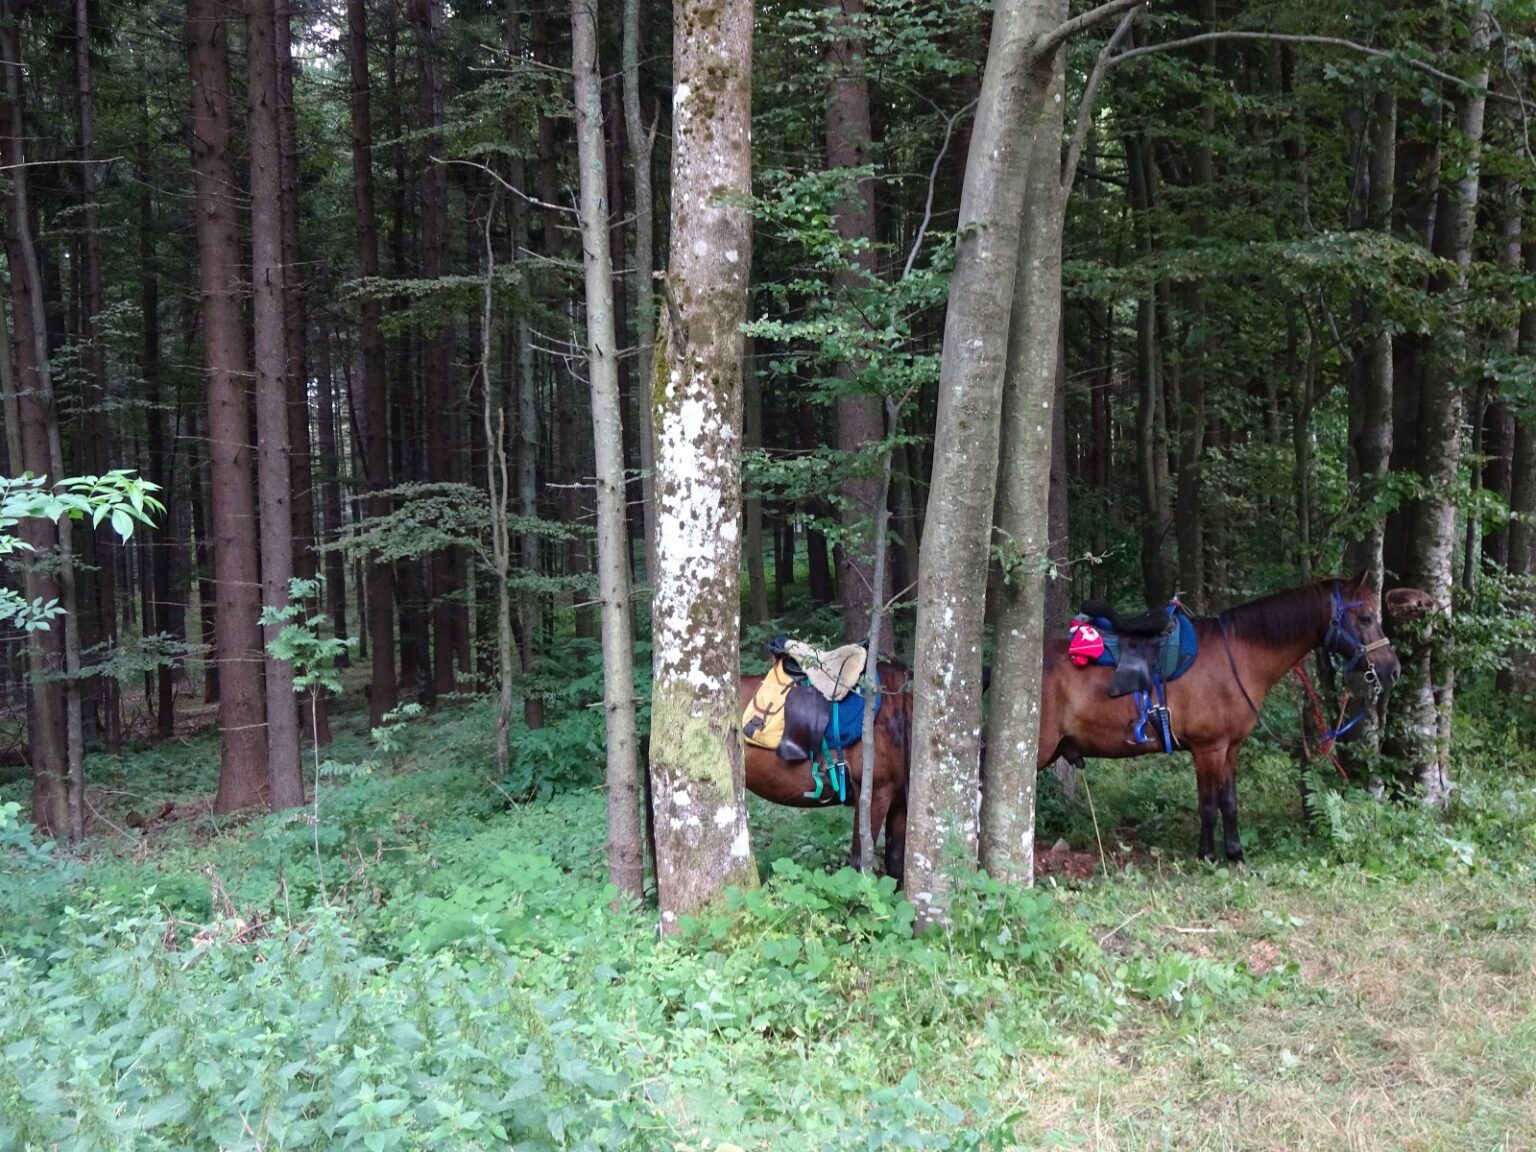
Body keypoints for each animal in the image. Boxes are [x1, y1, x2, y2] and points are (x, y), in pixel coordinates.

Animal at [1036, 575, 1401, 863]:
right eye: (1365, 617)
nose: (1392, 669)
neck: (1237, 657)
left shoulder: (1230, 748)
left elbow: (1229, 802)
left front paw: (1236, 853)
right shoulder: (1208, 749)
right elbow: (1208, 805)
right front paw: (1208, 856)